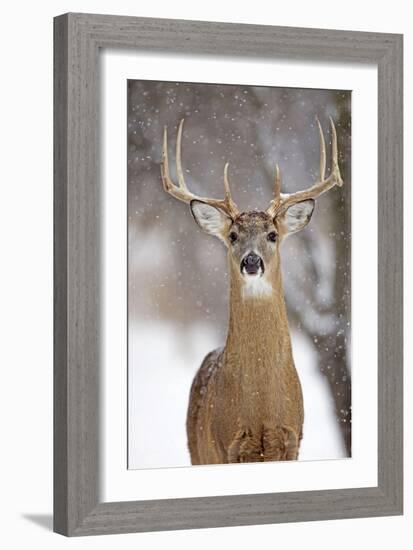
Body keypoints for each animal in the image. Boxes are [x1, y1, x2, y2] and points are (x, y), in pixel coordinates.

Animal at [159, 116, 342, 466]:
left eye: (272, 234)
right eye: (233, 235)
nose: (252, 261)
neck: (261, 408)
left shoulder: (291, 441)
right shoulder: (226, 447)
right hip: (196, 452)